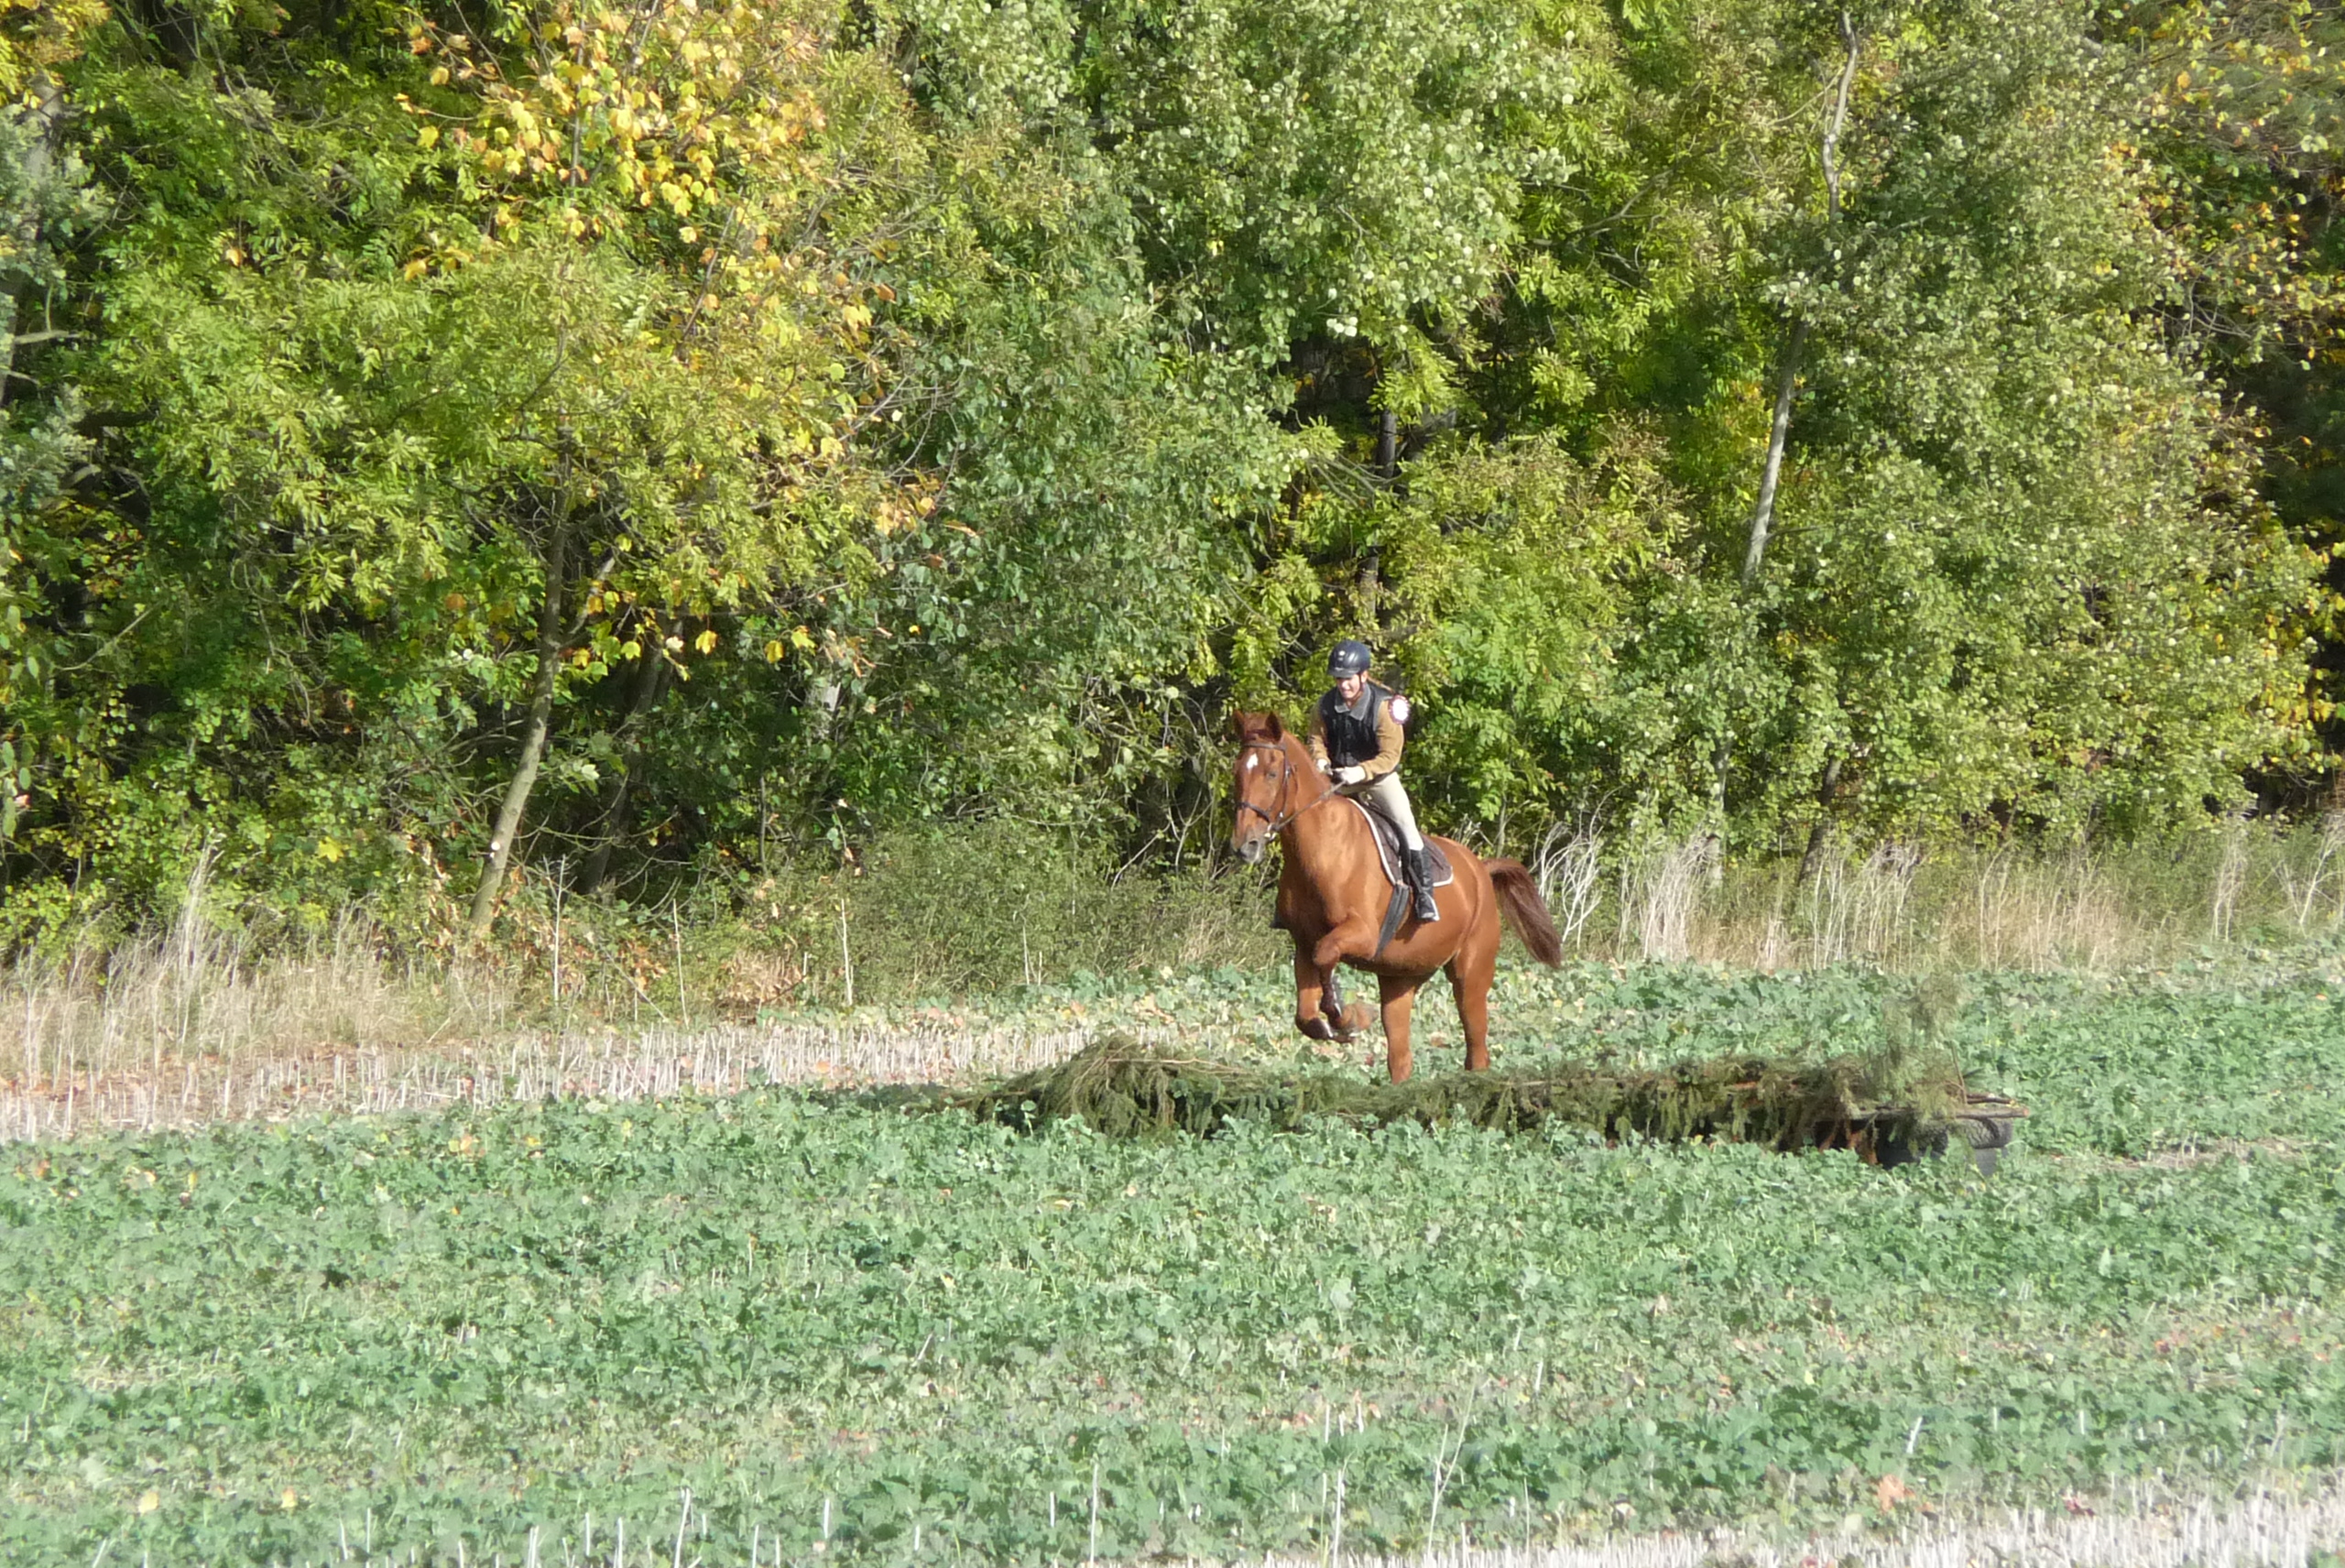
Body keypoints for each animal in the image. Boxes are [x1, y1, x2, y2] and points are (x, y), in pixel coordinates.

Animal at [1228, 707, 1556, 1078]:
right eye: (1237, 771)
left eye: (1271, 773)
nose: (1244, 845)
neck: (1321, 849)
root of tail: (1481, 871)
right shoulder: (1303, 942)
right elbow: (1306, 1016)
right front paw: (1337, 1021)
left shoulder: (1363, 935)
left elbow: (1326, 956)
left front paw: (1349, 1015)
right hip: (1400, 980)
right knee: (1401, 1059)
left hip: (1471, 975)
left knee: (1477, 1050)